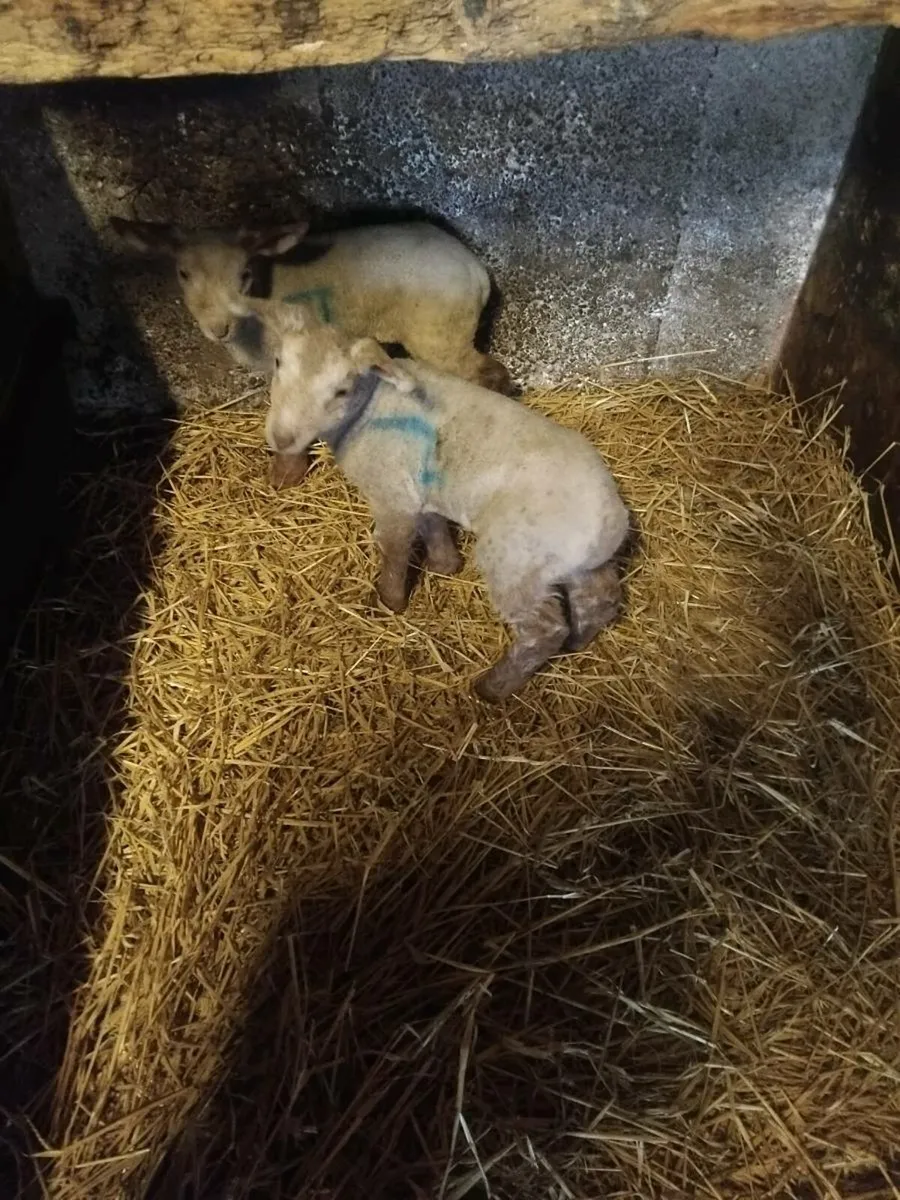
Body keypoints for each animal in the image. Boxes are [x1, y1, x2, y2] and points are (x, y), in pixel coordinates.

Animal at [110, 216, 512, 394]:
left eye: (244, 273)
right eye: (183, 272)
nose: (218, 327)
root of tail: (475, 270)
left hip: (439, 334)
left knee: (489, 374)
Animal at [262, 305, 630, 702]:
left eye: (341, 389)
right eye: (278, 362)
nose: (282, 438)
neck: (372, 404)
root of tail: (611, 520)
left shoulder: (393, 496)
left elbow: (394, 551)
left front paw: (389, 602)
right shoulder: (421, 492)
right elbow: (434, 527)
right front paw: (444, 565)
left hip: (514, 562)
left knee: (543, 630)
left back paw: (493, 686)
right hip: (571, 563)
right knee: (601, 598)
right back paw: (579, 641)